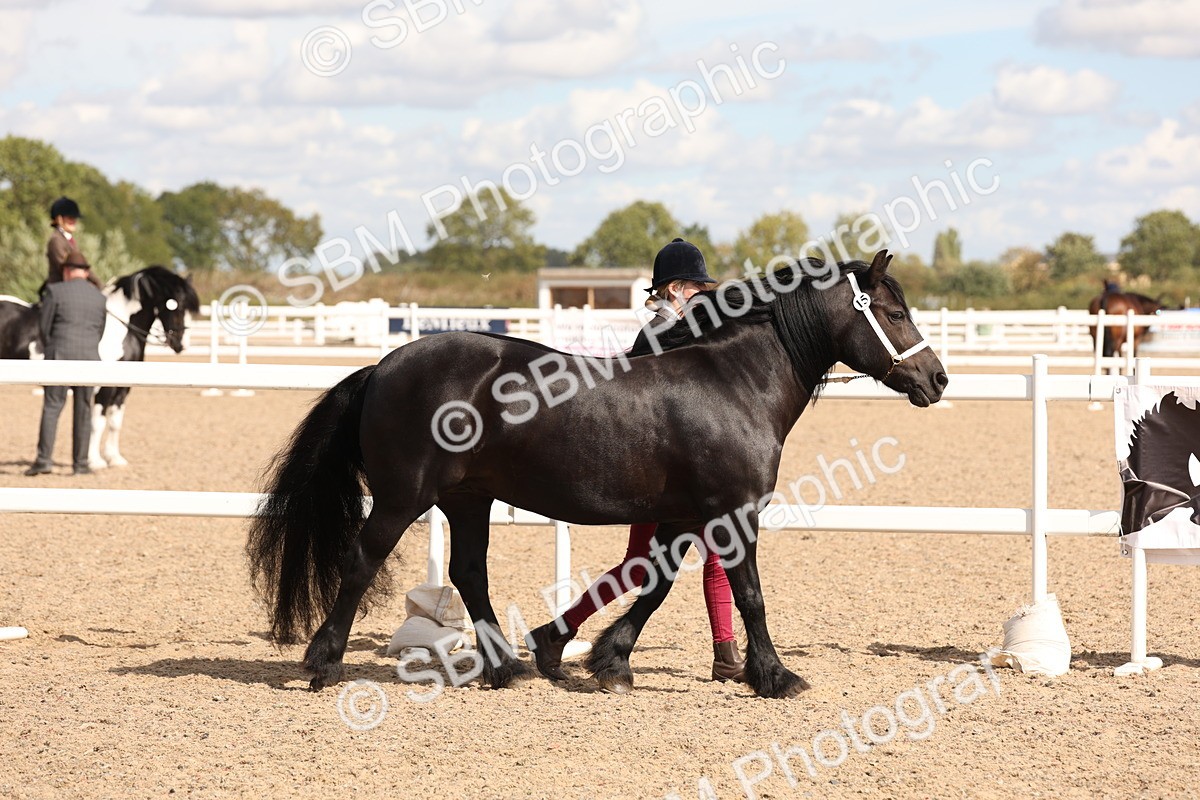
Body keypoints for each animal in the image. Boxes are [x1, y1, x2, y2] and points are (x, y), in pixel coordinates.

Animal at [0, 266, 200, 467]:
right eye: (177, 306)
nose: (181, 345)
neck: (121, 330)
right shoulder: (104, 387)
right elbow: (98, 422)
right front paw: (95, 460)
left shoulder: (123, 389)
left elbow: (115, 422)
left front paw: (114, 457)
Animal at [247, 250, 947, 699]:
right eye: (893, 313)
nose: (937, 378)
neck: (733, 382)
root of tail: (384, 366)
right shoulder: (732, 513)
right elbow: (748, 595)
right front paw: (775, 677)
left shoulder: (682, 518)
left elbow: (653, 585)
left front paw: (603, 659)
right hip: (402, 498)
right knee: (361, 563)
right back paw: (323, 664)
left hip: (469, 499)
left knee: (469, 572)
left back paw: (504, 667)